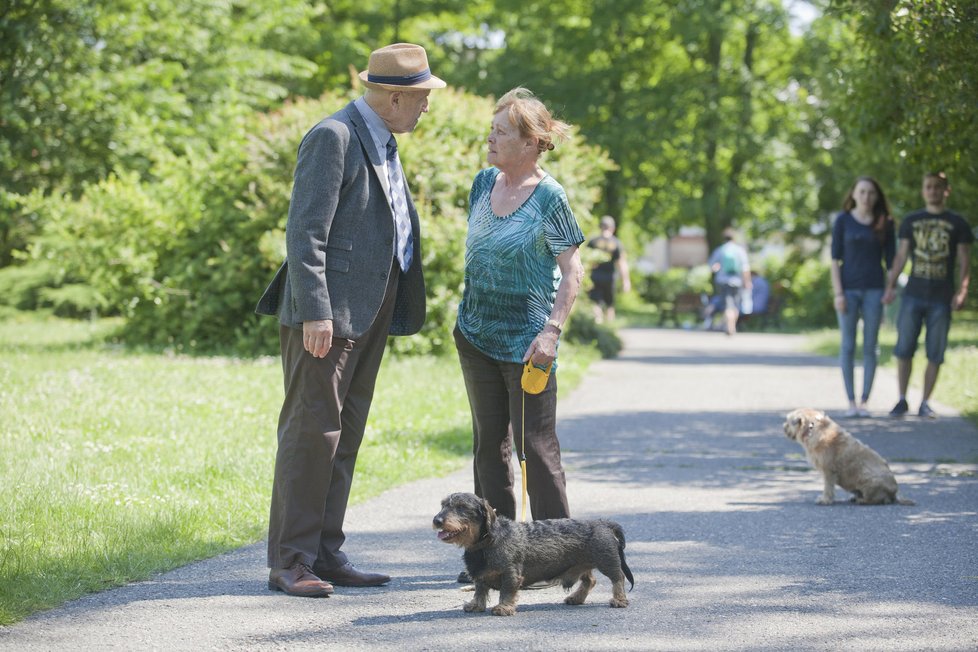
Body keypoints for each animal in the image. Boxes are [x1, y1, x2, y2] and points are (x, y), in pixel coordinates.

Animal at [432, 494, 632, 616]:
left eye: (461, 507)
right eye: (442, 505)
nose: (436, 520)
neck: (486, 544)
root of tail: (603, 523)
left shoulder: (511, 573)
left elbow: (506, 592)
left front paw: (504, 607)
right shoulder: (480, 576)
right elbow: (480, 591)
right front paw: (475, 605)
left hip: (607, 562)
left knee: (618, 578)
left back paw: (619, 599)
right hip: (581, 564)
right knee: (590, 580)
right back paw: (576, 598)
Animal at [780, 408, 912, 510]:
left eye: (788, 422)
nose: (783, 427)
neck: (813, 428)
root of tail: (894, 494)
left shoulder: (829, 471)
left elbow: (828, 487)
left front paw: (825, 500)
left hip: (869, 480)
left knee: (877, 499)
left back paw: (863, 500)